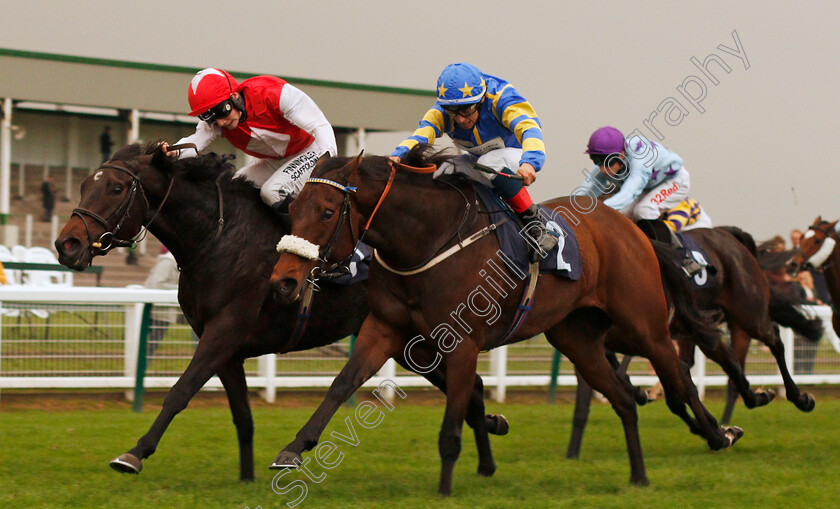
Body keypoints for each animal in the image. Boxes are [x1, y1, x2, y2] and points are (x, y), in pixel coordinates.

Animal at [57, 142, 512, 480]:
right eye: (82, 185)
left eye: (116, 189)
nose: (67, 244)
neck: (218, 237)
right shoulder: (227, 348)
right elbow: (242, 415)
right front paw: (246, 477)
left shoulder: (224, 331)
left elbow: (180, 391)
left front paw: (134, 453)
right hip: (409, 342)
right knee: (472, 389)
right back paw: (489, 450)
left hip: (423, 337)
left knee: (468, 386)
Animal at [270, 146, 740, 492]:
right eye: (293, 209)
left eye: (327, 212)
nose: (284, 282)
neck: (427, 239)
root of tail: (630, 227)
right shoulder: (384, 329)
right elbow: (342, 384)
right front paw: (294, 448)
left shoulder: (463, 343)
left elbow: (453, 420)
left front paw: (445, 489)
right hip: (578, 338)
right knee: (624, 398)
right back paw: (639, 476)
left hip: (645, 325)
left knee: (679, 377)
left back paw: (720, 435)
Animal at [564, 224, 812, 458]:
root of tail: (726, 233)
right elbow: (675, 395)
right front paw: (714, 429)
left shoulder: (654, 338)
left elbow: (682, 386)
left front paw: (716, 431)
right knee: (728, 359)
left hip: (746, 310)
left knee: (772, 341)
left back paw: (798, 398)